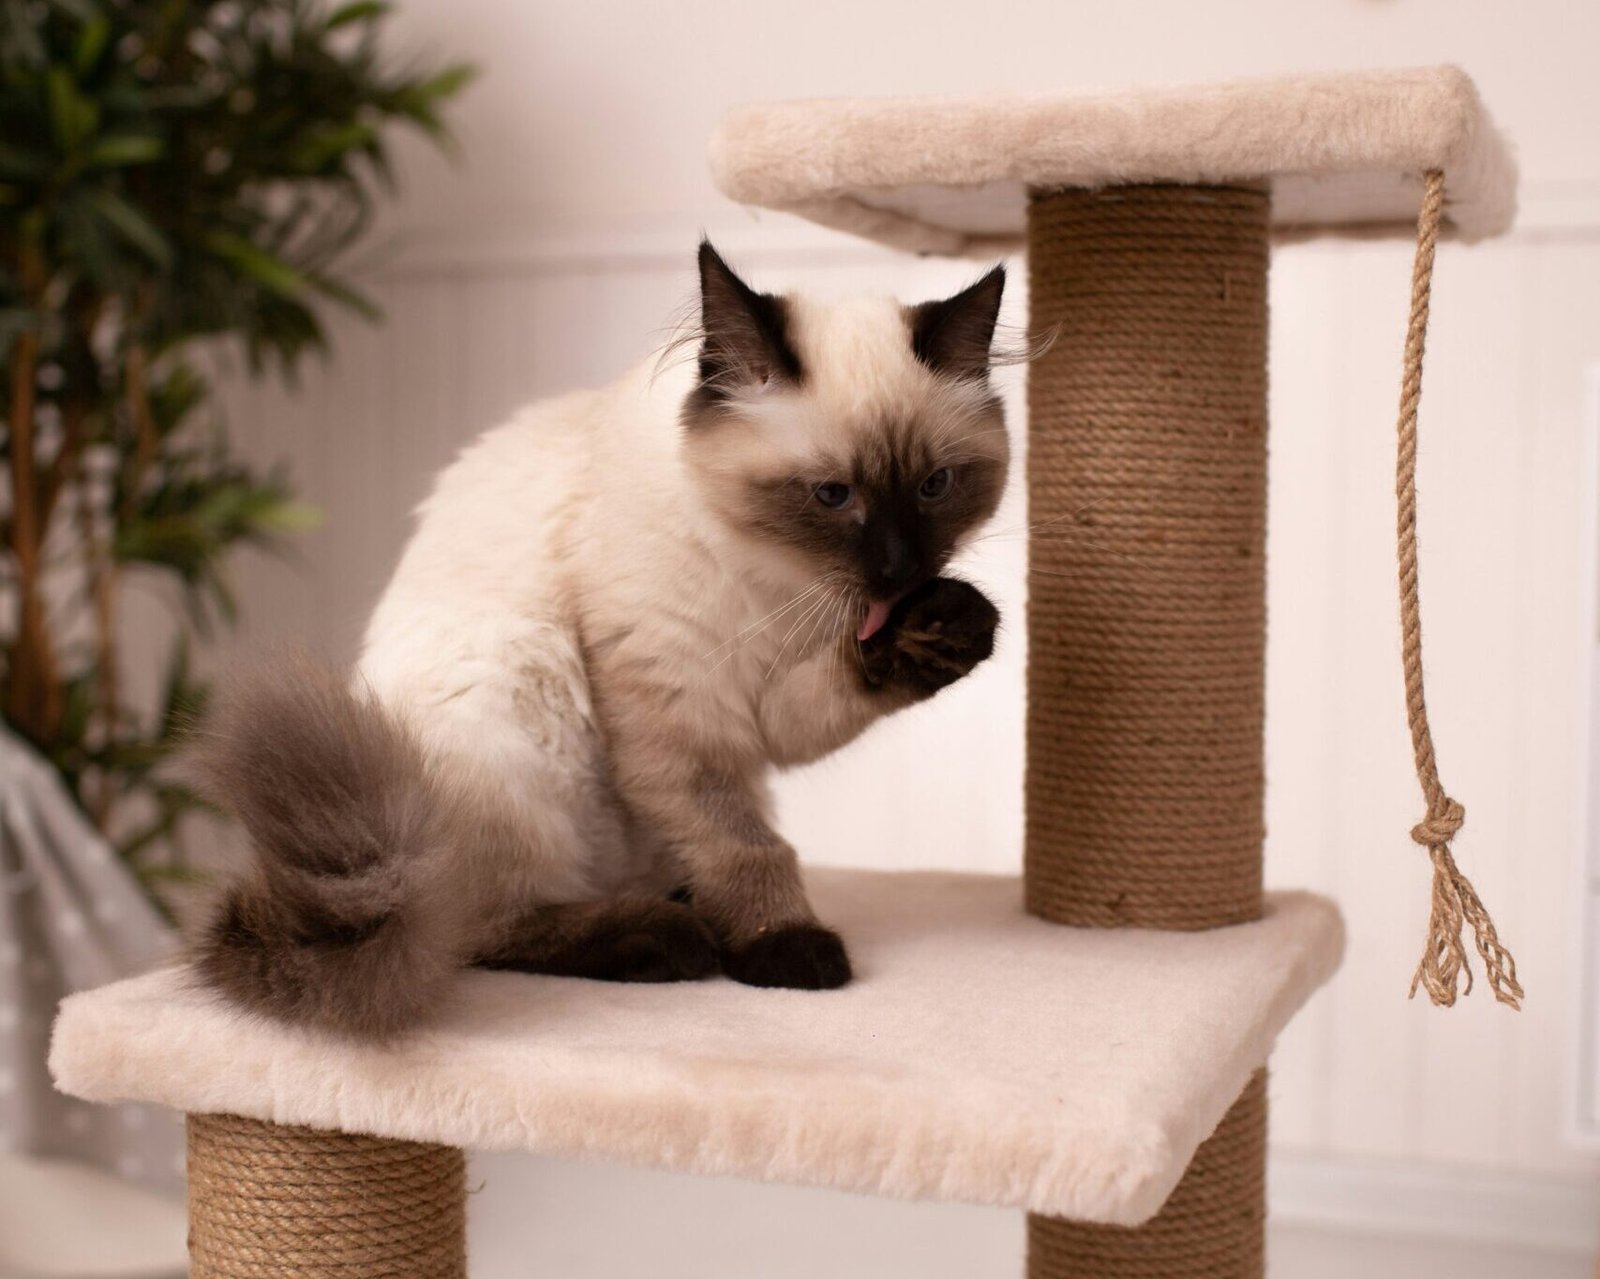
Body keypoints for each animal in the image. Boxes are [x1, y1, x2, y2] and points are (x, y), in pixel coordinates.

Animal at [193, 243, 1004, 1037]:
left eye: (935, 486)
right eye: (834, 496)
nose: (899, 571)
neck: (775, 578)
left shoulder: (767, 715)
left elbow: (835, 698)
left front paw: (949, 625)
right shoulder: (681, 715)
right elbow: (746, 845)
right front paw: (786, 949)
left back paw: (682, 905)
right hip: (515, 709)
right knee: (468, 931)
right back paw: (664, 940)